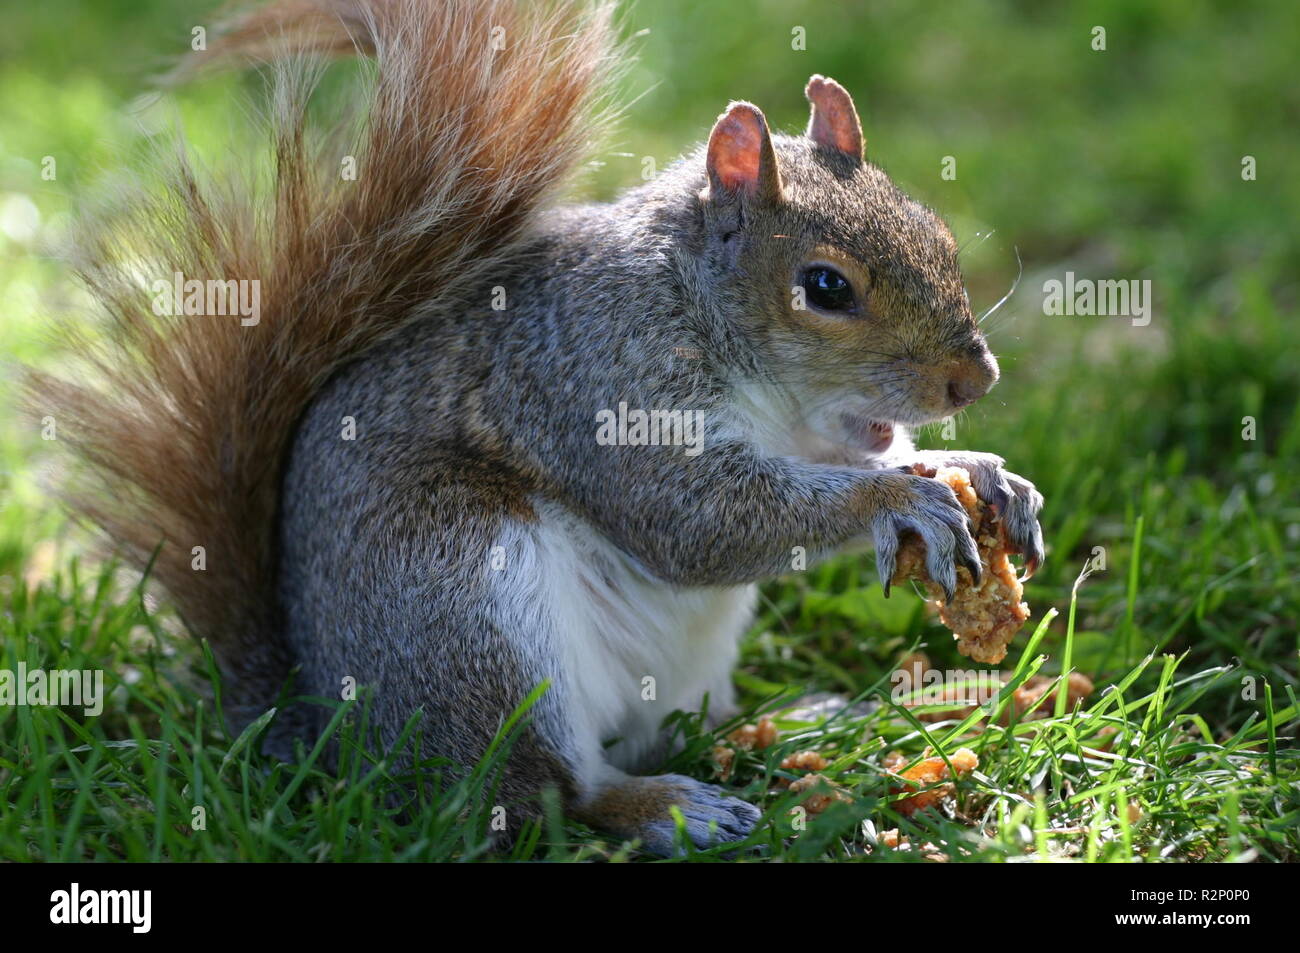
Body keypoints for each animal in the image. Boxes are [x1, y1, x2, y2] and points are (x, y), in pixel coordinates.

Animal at [25, 0, 1040, 852]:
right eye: (825, 287)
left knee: (681, 730)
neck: (690, 299)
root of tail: (332, 737)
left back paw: (801, 720)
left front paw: (983, 474)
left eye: (940, 233)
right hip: (468, 604)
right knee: (549, 793)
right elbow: (699, 520)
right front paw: (897, 501)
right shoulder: (603, 380)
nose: (974, 378)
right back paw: (667, 806)